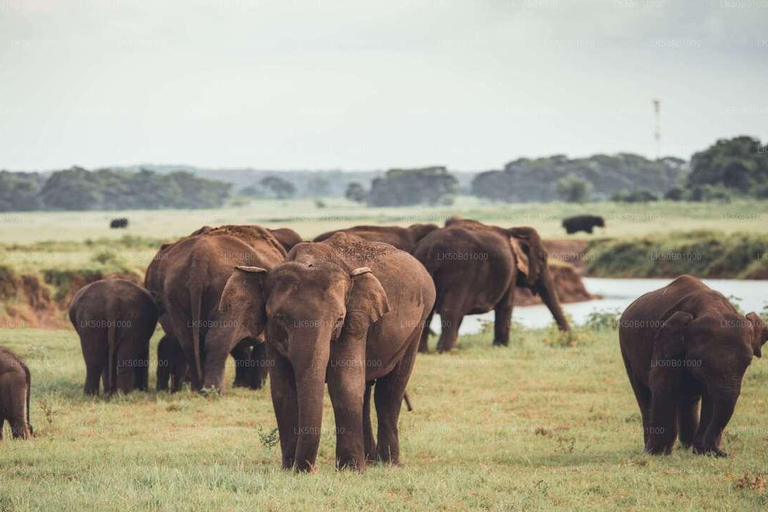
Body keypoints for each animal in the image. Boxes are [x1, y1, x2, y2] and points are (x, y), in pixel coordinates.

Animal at [148, 225, 286, 392]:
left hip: (174, 289)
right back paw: (214, 391)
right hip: (225, 288)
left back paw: (198, 388)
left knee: (189, 341)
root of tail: (199, 258)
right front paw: (254, 387)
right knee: (218, 339)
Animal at [213, 233, 436, 472]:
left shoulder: (353, 323)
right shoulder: (272, 334)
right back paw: (370, 461)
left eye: (338, 319)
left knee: (389, 391)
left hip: (417, 324)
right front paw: (289, 469)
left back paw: (389, 464)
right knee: (367, 390)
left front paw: (350, 470)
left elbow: (344, 384)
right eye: (279, 318)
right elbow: (282, 389)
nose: (308, 469)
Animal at [414, 216, 568, 352]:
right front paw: (502, 347)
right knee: (451, 309)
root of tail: (430, 250)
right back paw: (446, 350)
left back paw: (424, 351)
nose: (567, 338)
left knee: (428, 311)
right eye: (543, 258)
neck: (512, 230)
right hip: (460, 273)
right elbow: (506, 305)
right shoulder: (511, 271)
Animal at [616, 276, 768, 456]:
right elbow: (663, 386)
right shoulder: (664, 345)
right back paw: (649, 449)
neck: (712, 307)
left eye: (748, 362)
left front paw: (702, 452)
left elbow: (711, 397)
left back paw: (686, 446)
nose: (725, 454)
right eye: (701, 363)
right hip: (625, 348)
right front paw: (658, 454)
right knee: (644, 395)